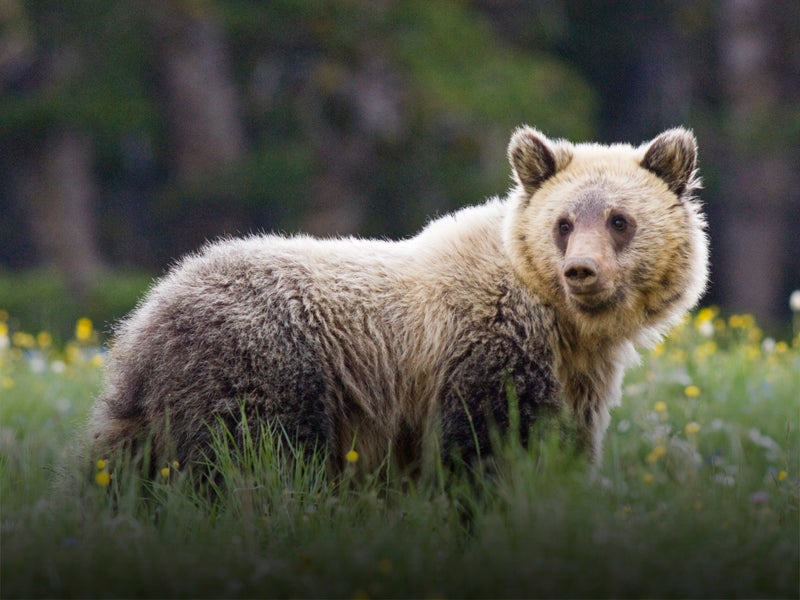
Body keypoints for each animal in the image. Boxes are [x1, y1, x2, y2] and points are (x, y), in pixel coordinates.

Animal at [87, 125, 708, 474]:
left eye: (619, 219)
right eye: (563, 222)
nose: (581, 270)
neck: (563, 323)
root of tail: (151, 310)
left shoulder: (578, 381)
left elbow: (566, 447)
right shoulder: (482, 352)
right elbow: (478, 447)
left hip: (151, 408)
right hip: (265, 366)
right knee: (250, 462)